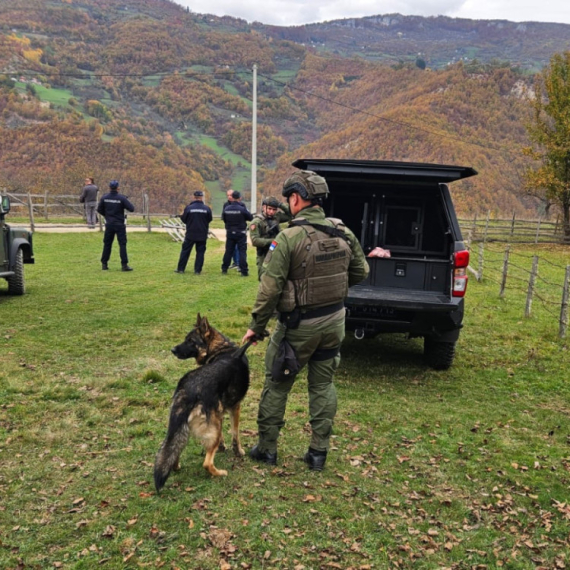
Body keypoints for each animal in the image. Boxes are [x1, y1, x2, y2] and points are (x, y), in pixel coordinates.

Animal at [155, 312, 253, 490]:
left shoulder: (221, 414)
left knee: (173, 450)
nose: (172, 350)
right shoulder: (235, 408)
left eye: (190, 341)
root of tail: (187, 390)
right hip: (214, 426)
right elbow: (235, 434)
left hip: (183, 428)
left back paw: (176, 466)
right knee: (206, 463)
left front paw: (222, 447)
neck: (221, 349)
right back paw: (220, 473)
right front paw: (239, 452)